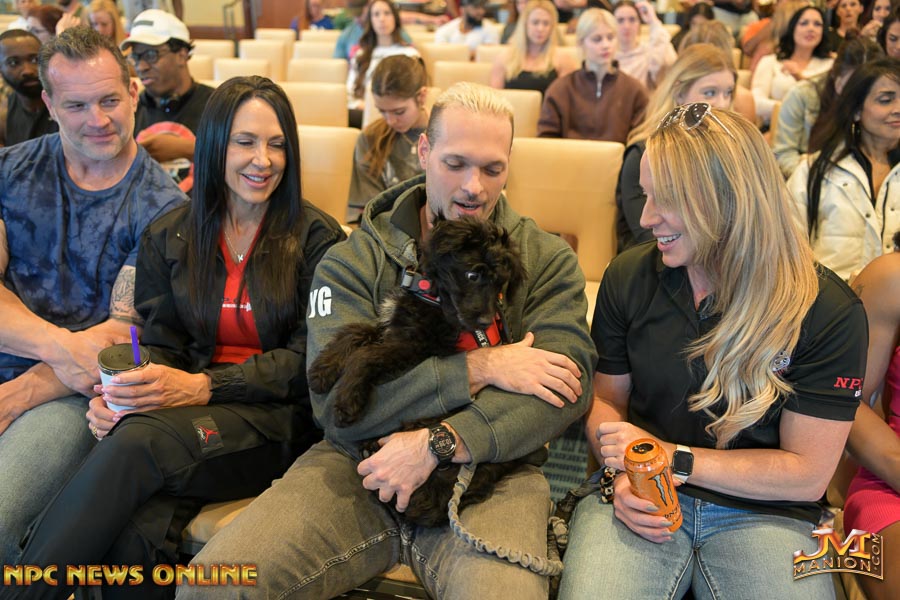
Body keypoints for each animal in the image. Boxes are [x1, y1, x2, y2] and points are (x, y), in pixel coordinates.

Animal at [308, 216, 537, 526]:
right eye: (473, 276)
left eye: (500, 283)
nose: (486, 321)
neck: (432, 294)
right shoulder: (395, 330)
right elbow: (356, 331)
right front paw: (321, 371)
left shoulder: (416, 348)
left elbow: (366, 356)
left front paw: (346, 404)